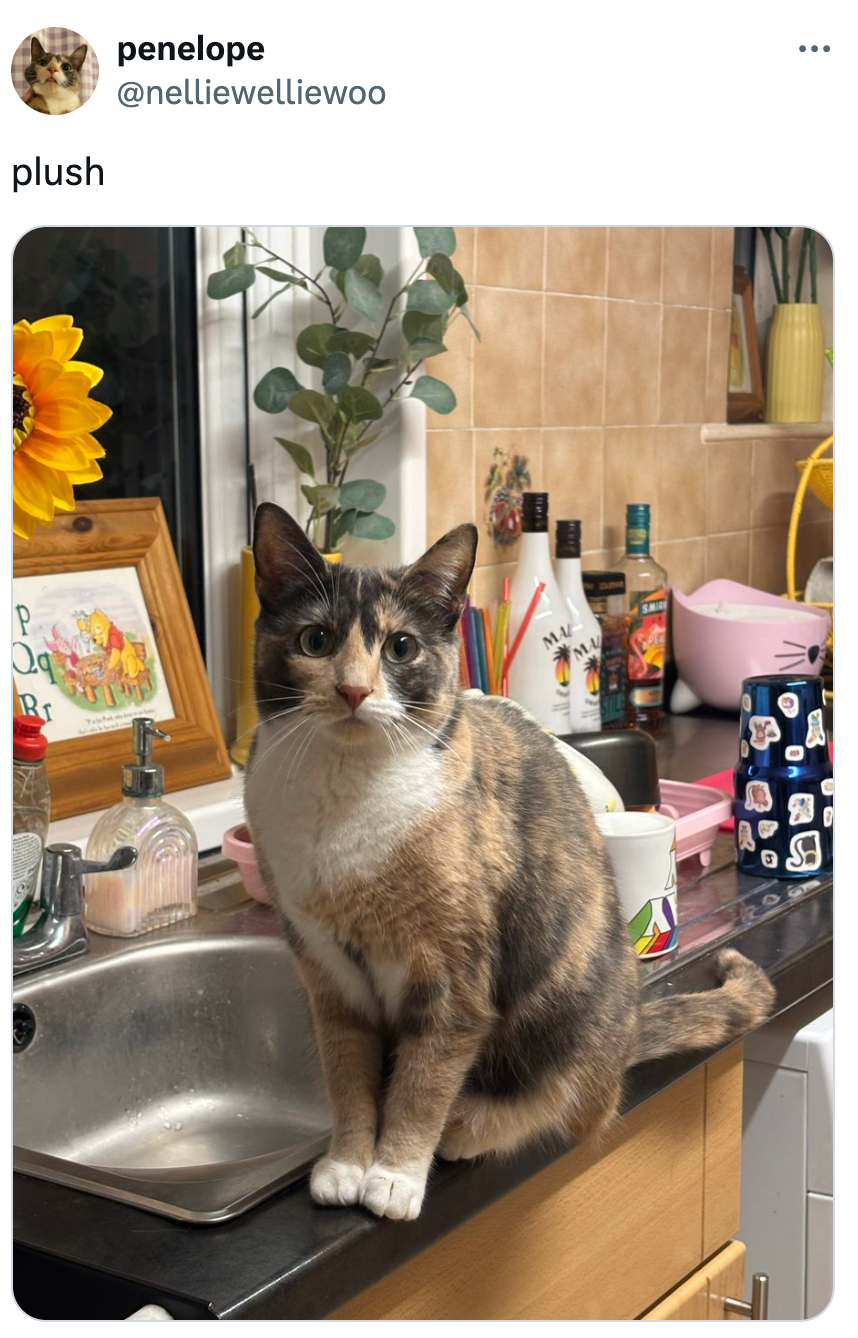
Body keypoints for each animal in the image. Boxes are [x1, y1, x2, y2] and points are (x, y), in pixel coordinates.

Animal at [245, 503, 775, 1221]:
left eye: (400, 648)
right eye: (315, 641)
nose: (354, 690)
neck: (344, 801)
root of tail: (632, 1024)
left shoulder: (453, 977)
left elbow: (421, 1084)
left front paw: (395, 1174)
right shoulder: (329, 975)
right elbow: (348, 1074)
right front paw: (349, 1162)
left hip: (565, 1012)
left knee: (575, 1104)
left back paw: (470, 1126)